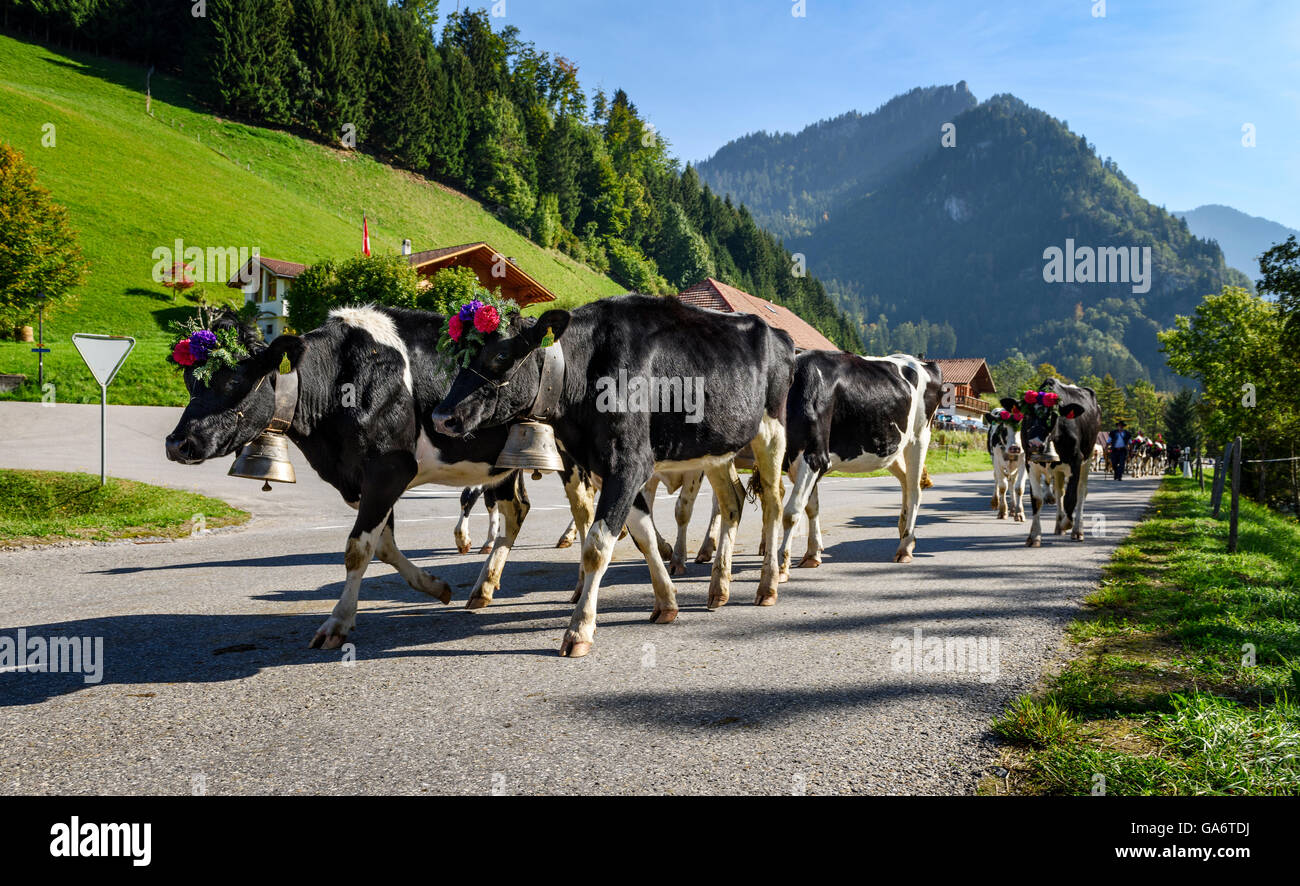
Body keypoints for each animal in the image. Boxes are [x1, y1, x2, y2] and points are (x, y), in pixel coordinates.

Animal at [163, 306, 538, 644]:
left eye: (234, 380)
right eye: (189, 381)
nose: (177, 443)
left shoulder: (389, 470)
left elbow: (357, 548)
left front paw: (338, 622)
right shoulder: (360, 480)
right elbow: (384, 546)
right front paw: (435, 586)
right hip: (506, 462)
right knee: (516, 510)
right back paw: (484, 586)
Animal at [431, 293, 790, 652]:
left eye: (501, 354)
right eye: (459, 356)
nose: (441, 416)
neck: (585, 368)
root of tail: (776, 332)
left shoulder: (628, 464)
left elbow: (597, 546)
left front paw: (579, 628)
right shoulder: (605, 468)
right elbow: (643, 535)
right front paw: (666, 602)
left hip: (771, 431)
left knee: (773, 504)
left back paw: (768, 584)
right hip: (716, 449)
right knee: (732, 502)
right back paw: (719, 588)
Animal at [774, 348, 941, 569]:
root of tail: (922, 361)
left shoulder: (814, 457)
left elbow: (792, 511)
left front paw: (781, 564)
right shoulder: (801, 462)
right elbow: (812, 507)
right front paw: (812, 554)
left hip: (919, 437)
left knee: (915, 490)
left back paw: (905, 548)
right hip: (891, 447)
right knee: (906, 482)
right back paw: (906, 535)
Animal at [1003, 376, 1097, 543]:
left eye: (1053, 416)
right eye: (1027, 415)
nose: (1035, 444)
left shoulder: (1076, 461)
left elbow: (1071, 498)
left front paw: (1067, 523)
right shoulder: (1030, 462)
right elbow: (1037, 499)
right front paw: (1034, 536)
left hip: (1088, 457)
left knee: (1081, 492)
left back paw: (1077, 529)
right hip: (1058, 469)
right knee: (1059, 492)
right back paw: (1059, 525)